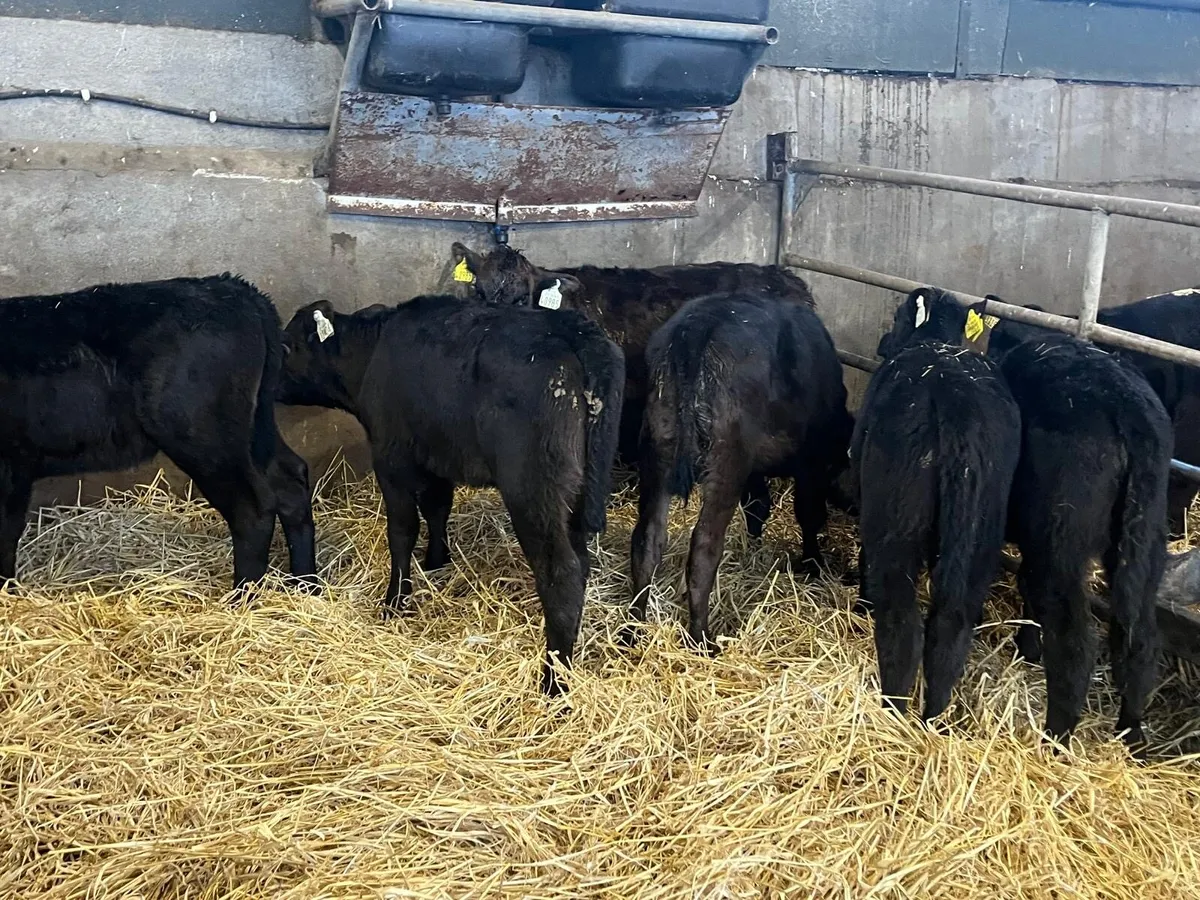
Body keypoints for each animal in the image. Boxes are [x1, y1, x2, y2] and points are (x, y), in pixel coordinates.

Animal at [0, 275, 316, 589]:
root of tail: (237, 289)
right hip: (253, 431)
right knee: (290, 480)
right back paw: (306, 583)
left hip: (203, 438)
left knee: (252, 508)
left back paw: (242, 596)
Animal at [277, 295, 624, 696]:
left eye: (288, 346)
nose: (270, 384)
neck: (372, 352)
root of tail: (575, 331)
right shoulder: (437, 458)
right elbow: (438, 508)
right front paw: (436, 561)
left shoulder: (391, 459)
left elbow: (402, 531)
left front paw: (395, 601)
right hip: (576, 498)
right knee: (581, 564)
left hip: (534, 493)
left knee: (562, 573)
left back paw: (553, 681)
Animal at [626, 291, 853, 653]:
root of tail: (699, 325)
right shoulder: (810, 462)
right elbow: (808, 513)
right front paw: (812, 564)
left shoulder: (755, 468)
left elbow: (758, 504)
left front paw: (755, 543)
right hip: (726, 461)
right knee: (704, 547)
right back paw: (702, 638)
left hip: (657, 447)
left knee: (647, 540)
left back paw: (632, 630)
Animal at [852, 287, 1021, 722]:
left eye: (897, 317)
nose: (882, 342)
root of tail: (955, 401)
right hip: (982, 531)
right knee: (951, 624)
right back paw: (933, 720)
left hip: (896, 524)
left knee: (901, 621)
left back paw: (894, 709)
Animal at [987, 319, 1171, 751]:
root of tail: (1127, 407)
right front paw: (1027, 649)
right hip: (1145, 540)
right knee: (1140, 638)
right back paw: (1131, 732)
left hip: (1062, 540)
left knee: (1074, 642)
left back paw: (1055, 738)